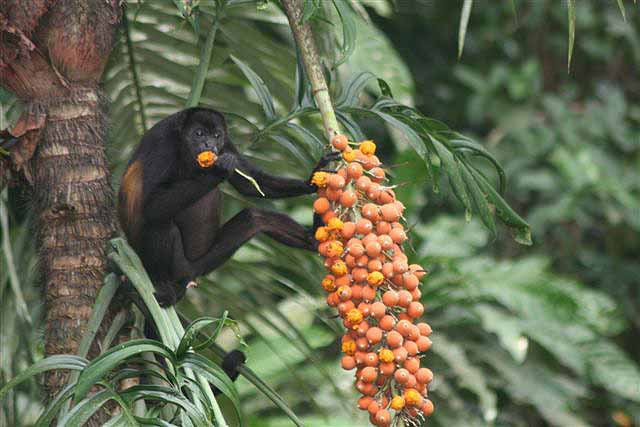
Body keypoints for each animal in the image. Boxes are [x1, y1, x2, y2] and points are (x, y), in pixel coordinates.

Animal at [117, 107, 336, 308]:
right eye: (199, 133)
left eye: (216, 135)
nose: (210, 145)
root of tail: (187, 275)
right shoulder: (162, 144)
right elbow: (152, 206)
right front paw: (219, 170)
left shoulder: (227, 144)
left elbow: (251, 184)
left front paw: (312, 180)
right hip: (165, 261)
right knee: (159, 223)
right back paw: (162, 284)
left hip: (202, 263)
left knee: (256, 218)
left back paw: (312, 240)